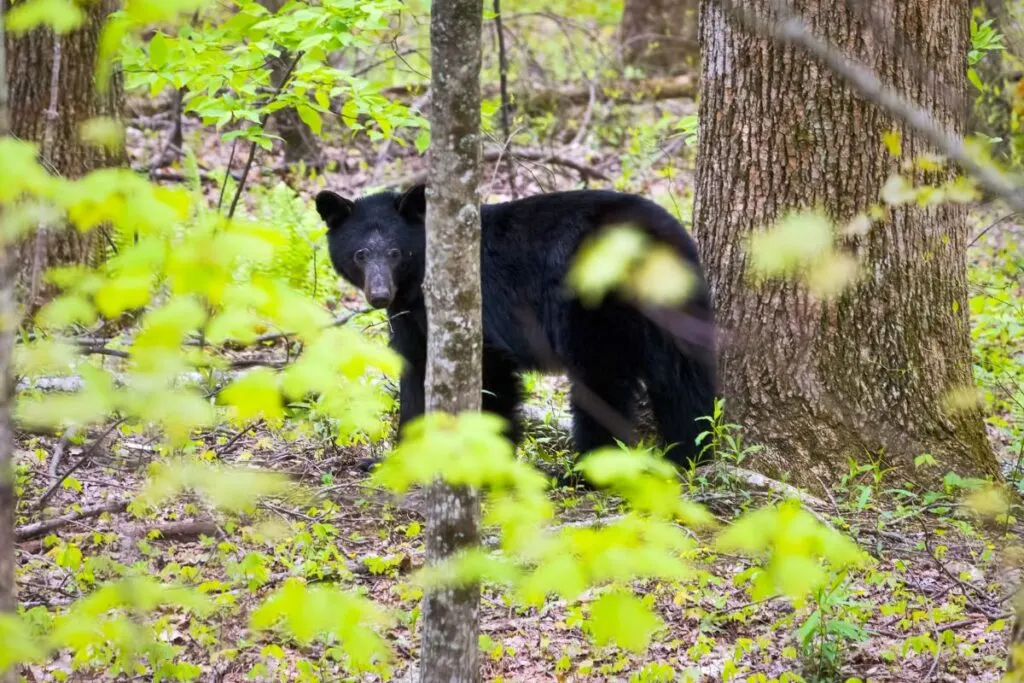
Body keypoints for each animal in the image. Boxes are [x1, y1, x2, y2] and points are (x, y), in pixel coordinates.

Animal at [315, 184, 716, 473]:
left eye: (396, 252)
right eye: (360, 254)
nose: (379, 294)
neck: (423, 281)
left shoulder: (478, 308)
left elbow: (491, 372)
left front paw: (487, 458)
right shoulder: (411, 317)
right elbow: (415, 374)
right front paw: (396, 457)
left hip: (592, 307)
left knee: (601, 381)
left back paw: (584, 470)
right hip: (678, 300)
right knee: (683, 376)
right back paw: (689, 453)